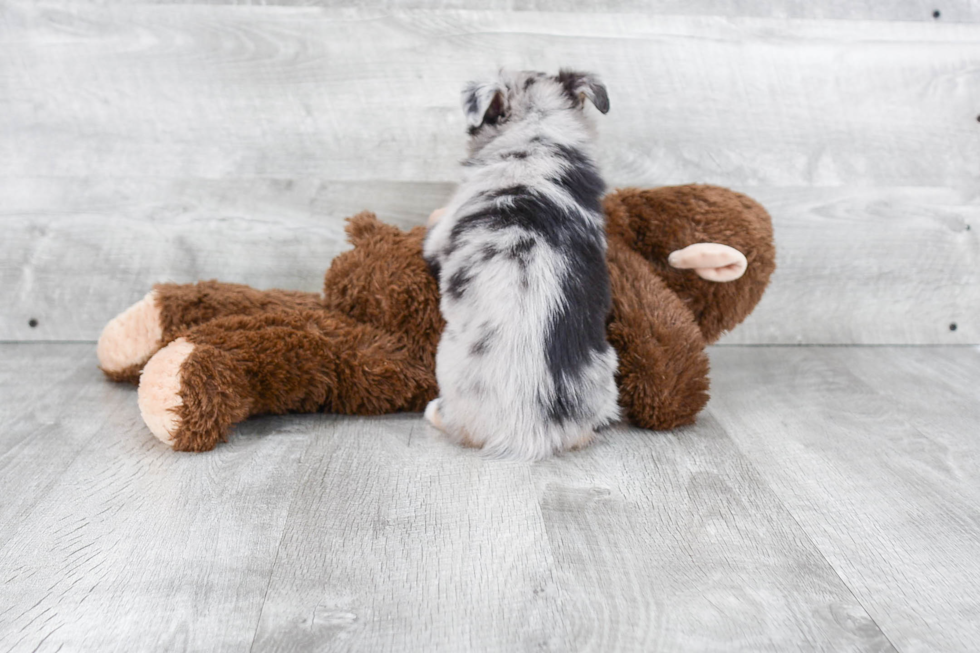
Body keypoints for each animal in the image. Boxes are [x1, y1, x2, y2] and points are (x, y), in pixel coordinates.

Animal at [422, 69, 620, 458]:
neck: (537, 132)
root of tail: (528, 433)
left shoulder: (439, 237)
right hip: (607, 373)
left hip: (447, 363)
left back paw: (433, 411)